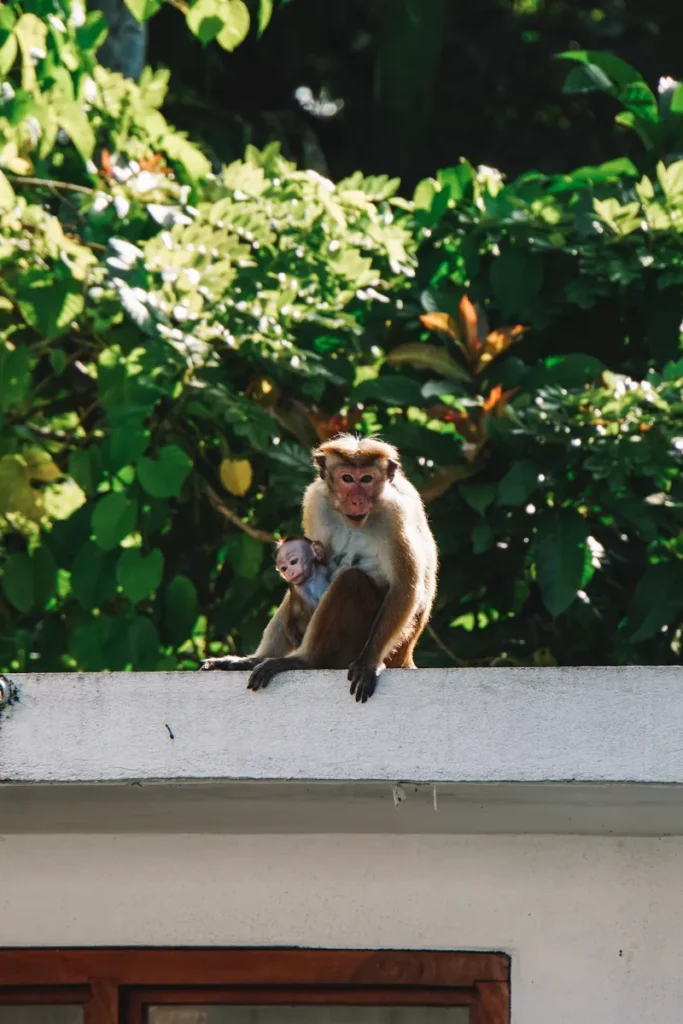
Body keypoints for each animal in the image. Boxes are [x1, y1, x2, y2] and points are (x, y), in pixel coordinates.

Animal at [201, 432, 438, 704]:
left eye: (367, 479)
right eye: (347, 479)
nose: (357, 499)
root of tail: (405, 655)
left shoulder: (394, 513)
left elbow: (404, 587)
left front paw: (369, 661)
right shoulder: (316, 500)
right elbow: (310, 566)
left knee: (351, 580)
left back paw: (303, 661)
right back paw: (254, 660)